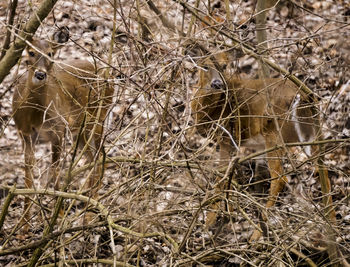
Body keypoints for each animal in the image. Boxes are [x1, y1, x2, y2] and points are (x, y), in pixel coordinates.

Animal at [11, 28, 113, 230]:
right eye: (31, 52)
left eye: (50, 53)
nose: (40, 74)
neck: (35, 115)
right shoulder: (24, 134)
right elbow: (28, 175)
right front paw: (23, 226)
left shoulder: (58, 131)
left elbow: (55, 172)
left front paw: (57, 217)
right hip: (80, 131)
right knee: (92, 158)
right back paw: (89, 203)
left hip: (97, 118)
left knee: (99, 158)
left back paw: (90, 211)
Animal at [191, 51, 336, 243]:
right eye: (205, 66)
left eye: (224, 65)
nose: (217, 83)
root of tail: (302, 97)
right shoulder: (254, 146)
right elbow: (253, 178)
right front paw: (227, 215)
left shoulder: (227, 139)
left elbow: (221, 177)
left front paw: (209, 224)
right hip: (313, 133)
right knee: (323, 171)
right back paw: (334, 229)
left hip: (274, 132)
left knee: (280, 178)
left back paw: (257, 234)